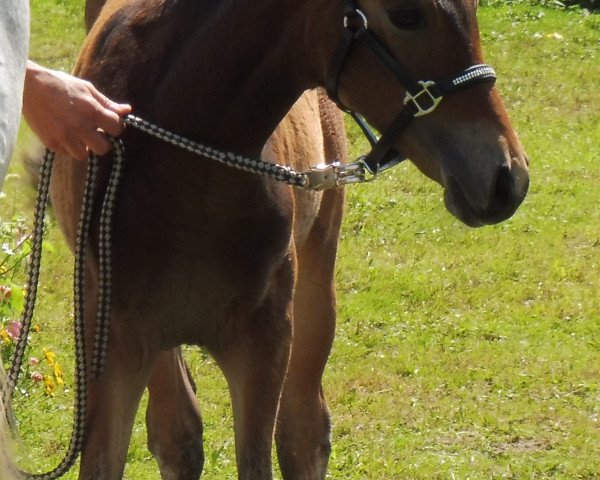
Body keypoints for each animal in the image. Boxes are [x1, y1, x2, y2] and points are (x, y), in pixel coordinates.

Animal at [45, 0, 528, 480]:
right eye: (406, 15)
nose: (508, 178)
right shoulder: (112, 342)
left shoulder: (265, 342)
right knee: (178, 430)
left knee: (304, 431)